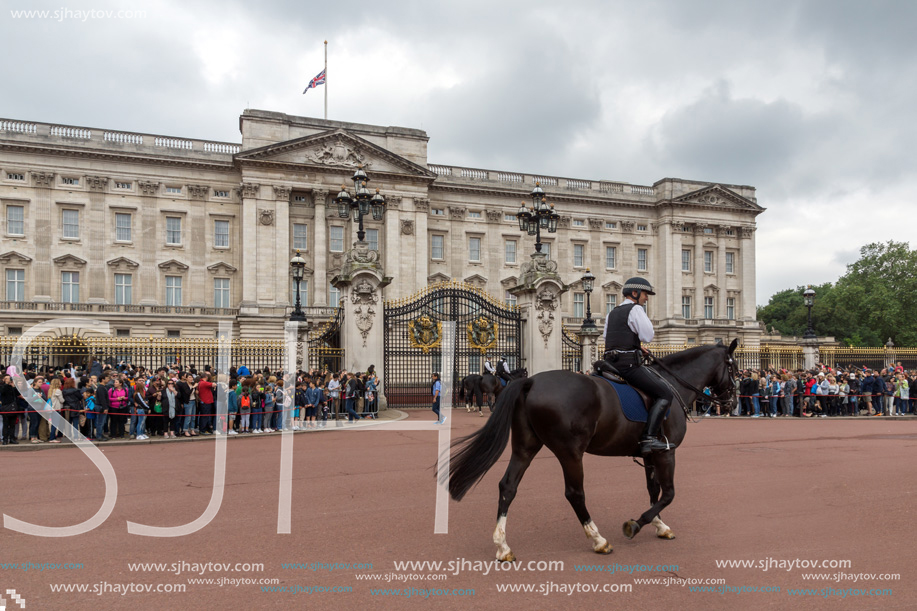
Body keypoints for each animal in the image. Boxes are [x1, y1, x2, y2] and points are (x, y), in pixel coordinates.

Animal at [444, 342, 736, 560]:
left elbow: (654, 490)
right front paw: (637, 523)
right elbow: (669, 493)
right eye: (732, 366)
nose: (731, 402)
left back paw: (503, 547)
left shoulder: (650, 454)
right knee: (575, 493)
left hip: (525, 447)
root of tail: (532, 383)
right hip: (570, 452)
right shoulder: (666, 452)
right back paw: (598, 539)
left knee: (508, 487)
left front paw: (659, 524)